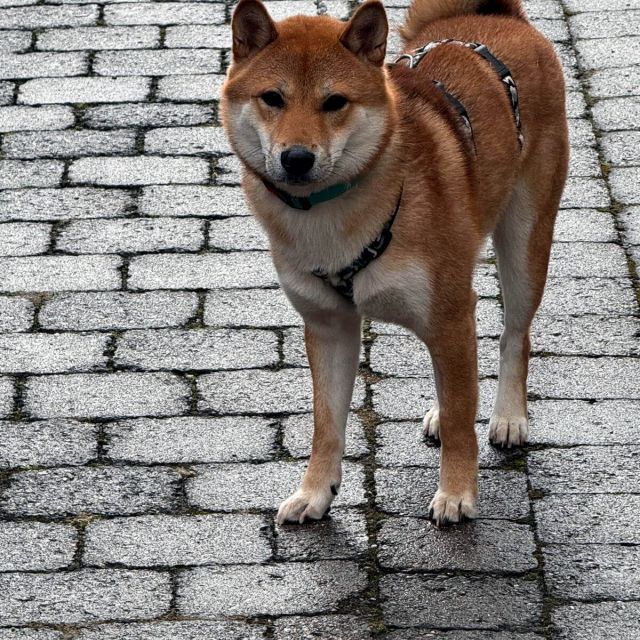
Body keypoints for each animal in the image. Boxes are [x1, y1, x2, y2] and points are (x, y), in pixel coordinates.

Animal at [222, 0, 568, 524]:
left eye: (335, 102)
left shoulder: (449, 313)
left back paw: (508, 416)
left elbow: (464, 419)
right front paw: (315, 492)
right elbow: (327, 425)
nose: (297, 158)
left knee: (514, 336)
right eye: (272, 98)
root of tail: (498, 17)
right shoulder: (329, 325)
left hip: (524, 247)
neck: (332, 219)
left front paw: (457, 492)